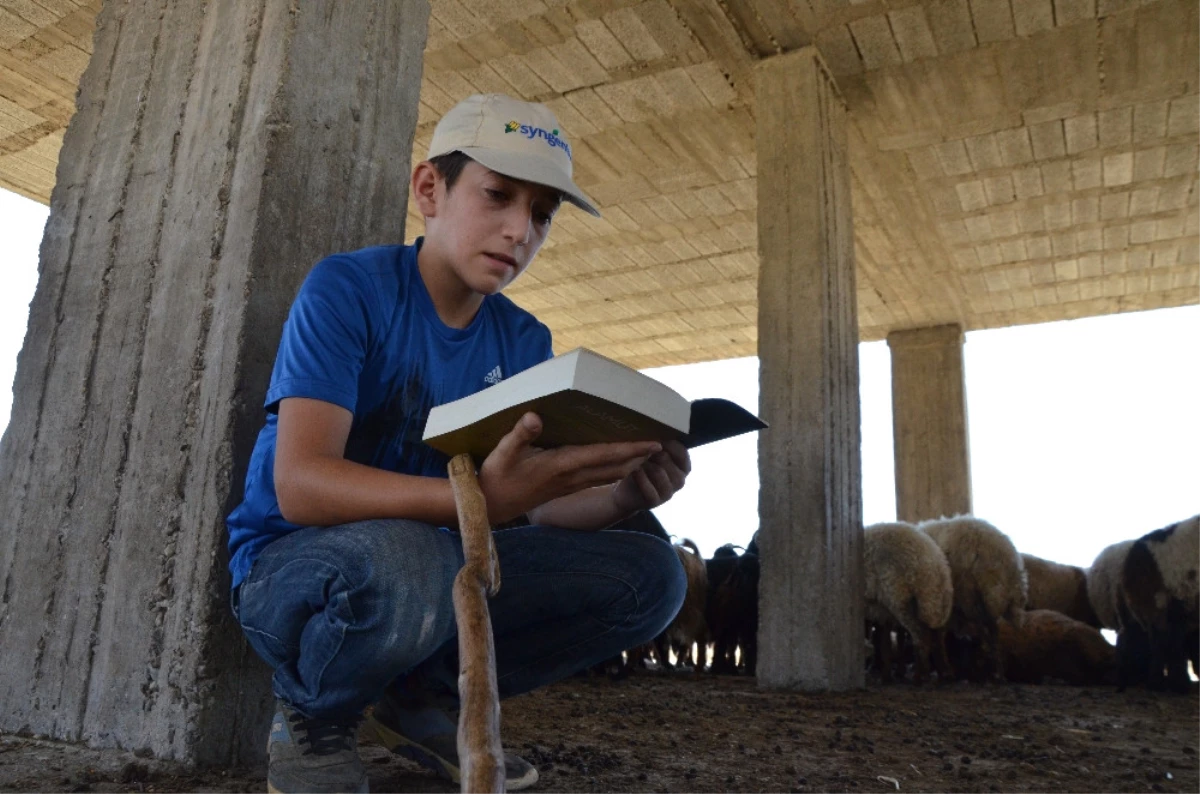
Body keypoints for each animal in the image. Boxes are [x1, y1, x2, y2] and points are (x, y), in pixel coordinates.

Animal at [864, 522, 955, 686]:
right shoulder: (880, 612)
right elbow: (884, 642)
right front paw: (885, 676)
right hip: (931, 603)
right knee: (938, 636)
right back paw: (944, 673)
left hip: (900, 598)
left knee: (921, 635)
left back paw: (921, 677)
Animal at [916, 515, 1022, 686]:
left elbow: (933, 637)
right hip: (981, 603)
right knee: (993, 633)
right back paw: (998, 674)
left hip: (969, 597)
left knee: (985, 636)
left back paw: (989, 674)